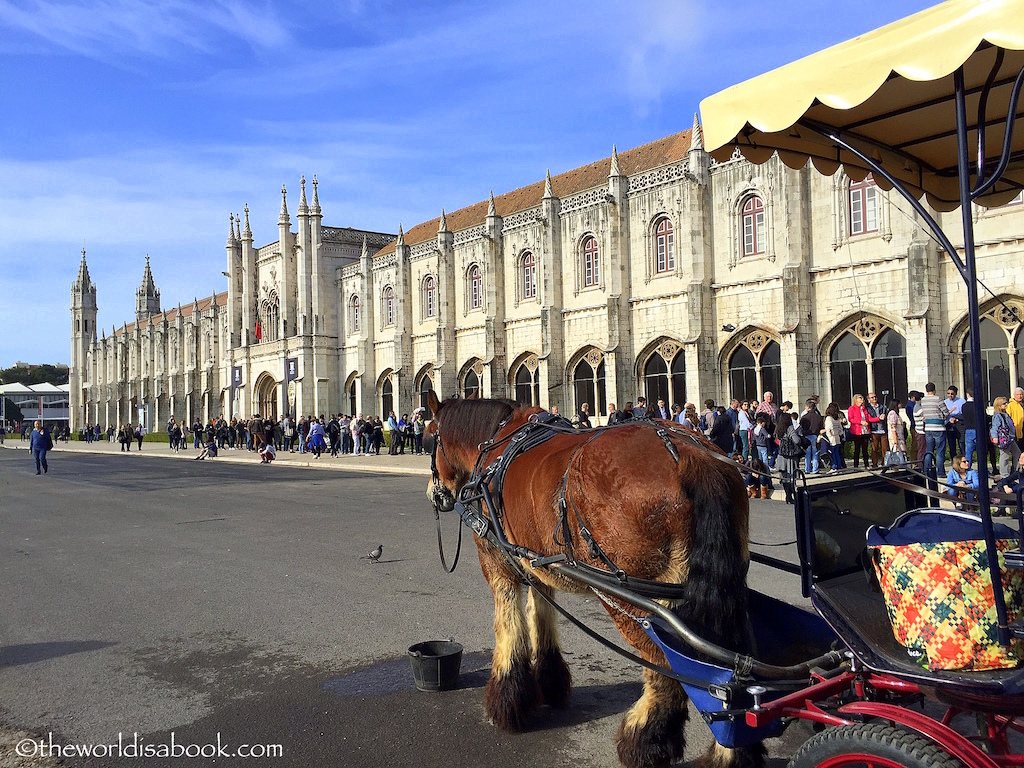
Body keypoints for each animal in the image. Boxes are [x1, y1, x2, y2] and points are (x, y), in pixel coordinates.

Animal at [423, 393, 761, 768]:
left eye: (427, 439)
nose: (435, 494)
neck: (495, 443)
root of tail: (690, 456)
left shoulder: (497, 561)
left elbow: (509, 626)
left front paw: (508, 703)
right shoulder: (539, 561)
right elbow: (541, 615)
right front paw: (550, 683)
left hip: (633, 597)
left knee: (666, 668)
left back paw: (644, 741)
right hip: (720, 588)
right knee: (729, 670)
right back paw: (730, 753)